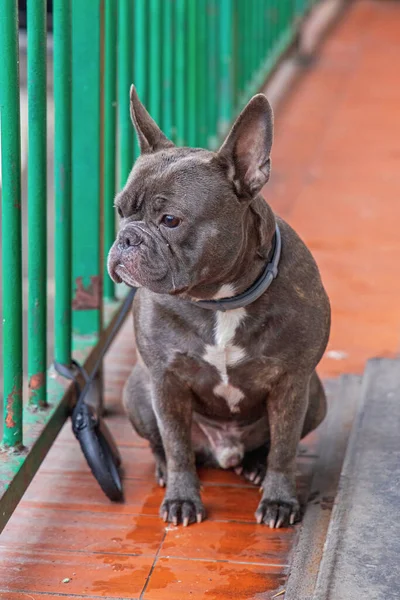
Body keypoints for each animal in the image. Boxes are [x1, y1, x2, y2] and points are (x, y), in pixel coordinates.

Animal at [108, 86, 330, 528]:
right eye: (120, 211)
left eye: (170, 220)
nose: (126, 238)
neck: (219, 300)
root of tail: (225, 452)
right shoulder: (165, 380)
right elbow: (176, 445)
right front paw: (182, 498)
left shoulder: (293, 382)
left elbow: (285, 448)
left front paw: (280, 500)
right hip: (138, 390)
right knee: (166, 444)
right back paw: (165, 470)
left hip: (316, 396)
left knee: (272, 444)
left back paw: (256, 466)